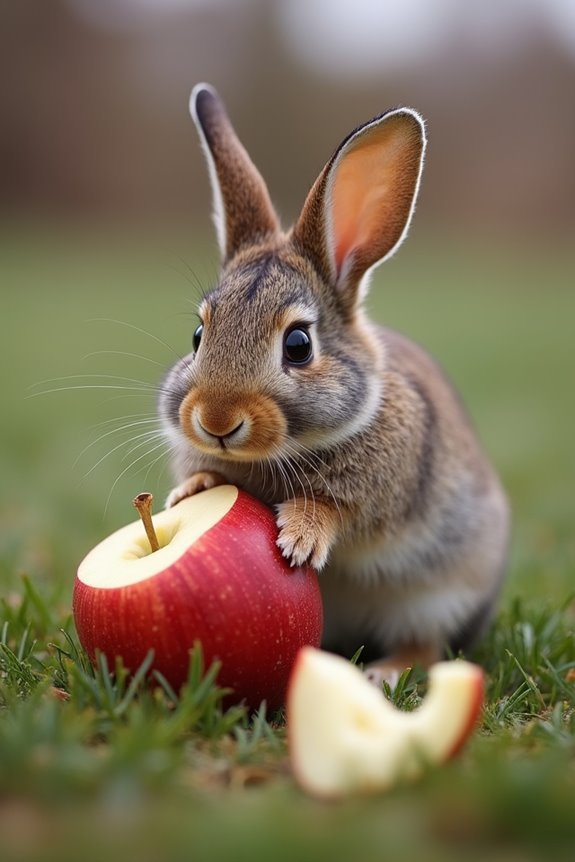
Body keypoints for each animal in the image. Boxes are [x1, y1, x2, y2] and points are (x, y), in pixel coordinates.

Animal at [159, 84, 510, 686]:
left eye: (298, 345)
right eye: (198, 335)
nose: (216, 421)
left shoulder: (382, 494)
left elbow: (337, 509)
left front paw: (300, 537)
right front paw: (192, 491)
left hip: (437, 595)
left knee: (426, 646)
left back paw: (383, 673)